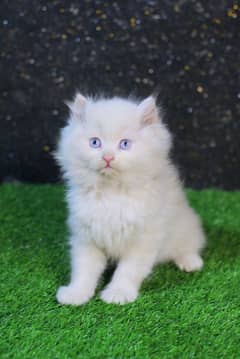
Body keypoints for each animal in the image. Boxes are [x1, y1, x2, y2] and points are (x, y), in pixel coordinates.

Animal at [54, 93, 206, 306]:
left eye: (124, 144)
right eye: (95, 143)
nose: (108, 157)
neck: (112, 192)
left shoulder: (143, 239)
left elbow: (128, 271)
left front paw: (118, 293)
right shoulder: (86, 237)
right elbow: (84, 270)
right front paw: (76, 294)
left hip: (185, 226)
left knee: (188, 245)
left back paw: (190, 262)